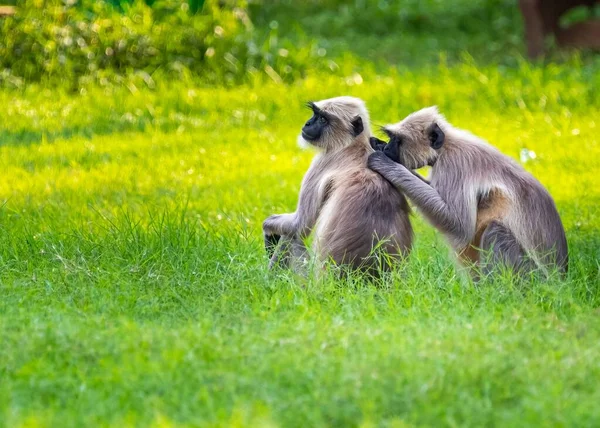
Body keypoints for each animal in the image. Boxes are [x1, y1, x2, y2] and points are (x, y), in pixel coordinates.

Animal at [262, 95, 412, 276]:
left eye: (322, 119)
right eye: (315, 115)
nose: (308, 124)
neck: (353, 145)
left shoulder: (322, 163)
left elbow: (299, 225)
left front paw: (269, 231)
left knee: (291, 237)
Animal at [366, 105, 568, 276]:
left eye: (397, 140)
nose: (387, 147)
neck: (447, 145)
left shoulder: (454, 163)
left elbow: (459, 224)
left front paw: (384, 163)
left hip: (530, 273)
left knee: (495, 232)